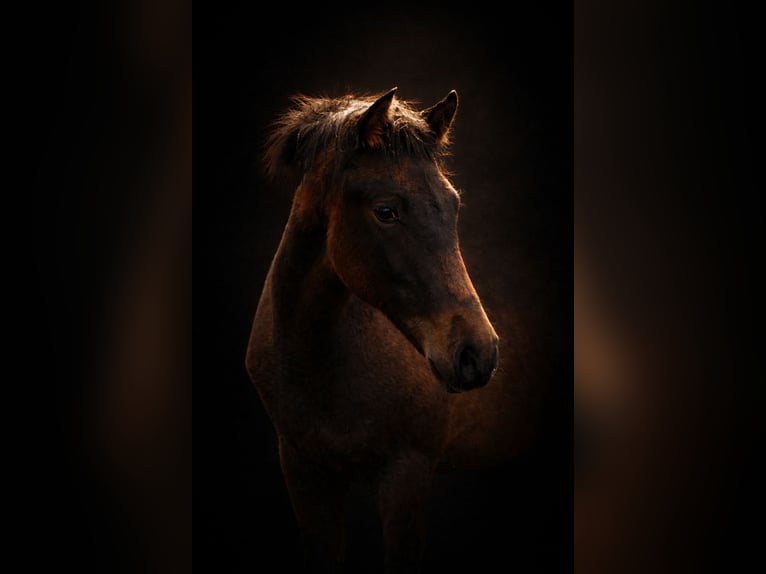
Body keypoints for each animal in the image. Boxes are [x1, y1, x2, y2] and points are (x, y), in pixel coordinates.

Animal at [245, 88, 543, 573]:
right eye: (386, 211)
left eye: (453, 204)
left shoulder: (406, 477)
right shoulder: (304, 475)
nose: (476, 353)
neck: (318, 368)